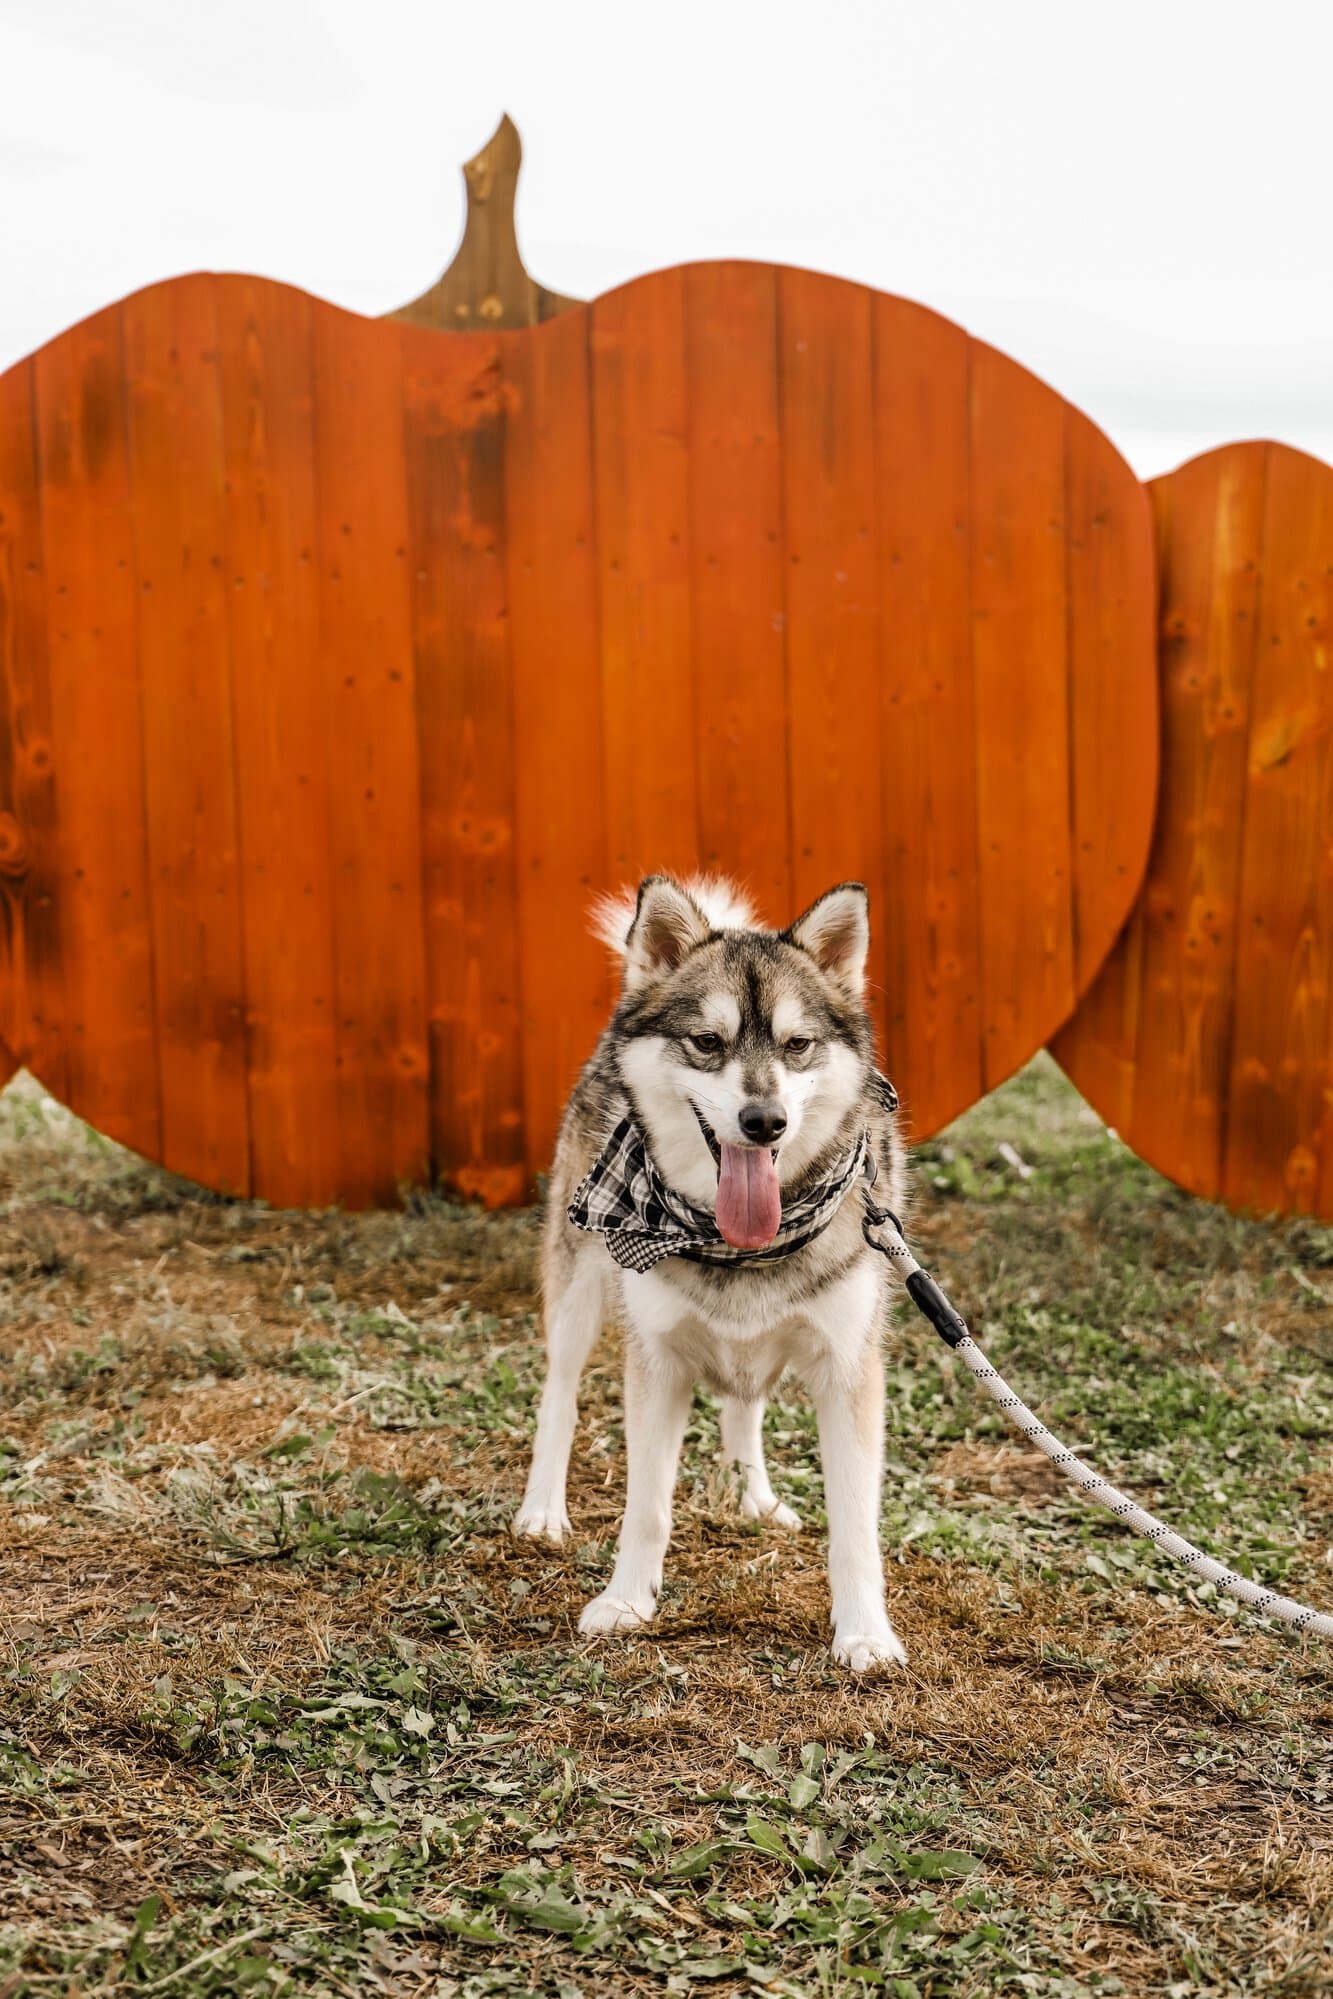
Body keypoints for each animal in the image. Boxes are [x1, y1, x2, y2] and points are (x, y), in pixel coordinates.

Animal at [515, 875, 911, 1671]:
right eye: (707, 1042)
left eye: (797, 1045)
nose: (764, 1121)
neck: (742, 1242)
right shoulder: (656, 1363)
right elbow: (646, 1505)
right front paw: (625, 1601)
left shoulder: (849, 1370)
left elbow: (855, 1525)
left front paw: (863, 1632)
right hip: (577, 1290)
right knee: (559, 1397)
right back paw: (542, 1507)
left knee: (743, 1404)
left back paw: (752, 1495)